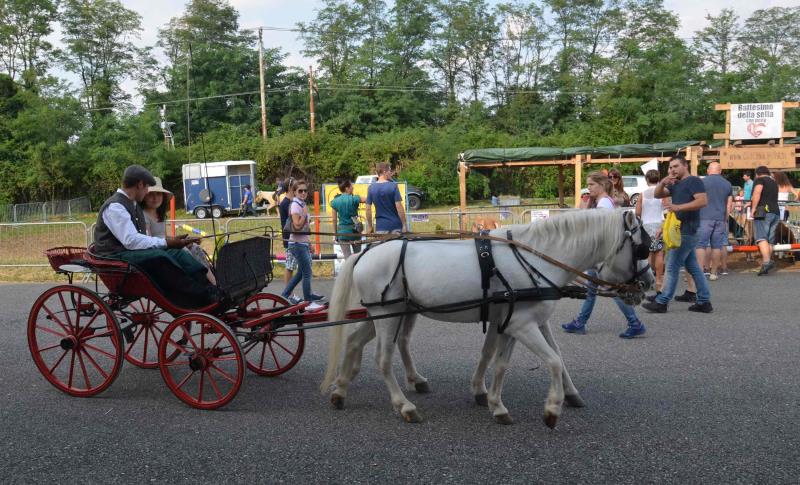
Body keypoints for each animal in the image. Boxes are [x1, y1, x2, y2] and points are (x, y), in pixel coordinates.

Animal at [320, 209, 654, 427]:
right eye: (642, 248)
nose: (648, 283)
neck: (534, 258)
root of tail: (363, 254)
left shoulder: (510, 322)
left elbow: (499, 360)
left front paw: (494, 402)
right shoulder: (523, 325)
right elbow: (554, 360)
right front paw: (552, 408)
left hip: (382, 314)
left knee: (354, 341)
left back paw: (340, 389)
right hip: (388, 317)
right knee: (383, 359)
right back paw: (405, 406)